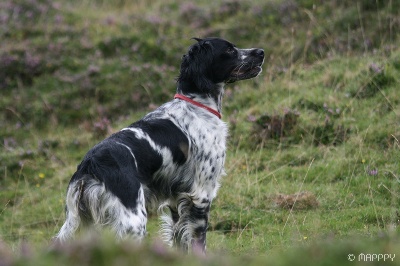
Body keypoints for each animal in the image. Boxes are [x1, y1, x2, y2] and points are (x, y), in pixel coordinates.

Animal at [54, 37, 264, 254]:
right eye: (229, 50)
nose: (261, 52)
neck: (197, 106)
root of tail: (90, 164)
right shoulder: (202, 194)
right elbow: (199, 241)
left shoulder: (176, 198)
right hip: (133, 221)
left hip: (79, 222)